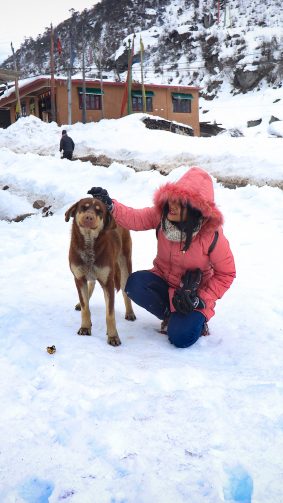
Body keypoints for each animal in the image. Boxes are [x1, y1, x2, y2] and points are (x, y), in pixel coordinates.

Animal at [65, 197, 136, 346]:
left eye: (99, 211)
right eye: (83, 207)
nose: (89, 217)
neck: (88, 243)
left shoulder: (108, 282)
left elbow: (110, 314)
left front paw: (113, 336)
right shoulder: (79, 278)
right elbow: (86, 307)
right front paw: (85, 327)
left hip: (125, 264)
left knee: (125, 290)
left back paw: (130, 312)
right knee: (91, 283)